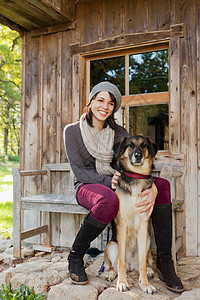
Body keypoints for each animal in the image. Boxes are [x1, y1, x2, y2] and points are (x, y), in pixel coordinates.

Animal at [104, 135, 158, 294]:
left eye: (144, 145)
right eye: (131, 145)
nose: (138, 155)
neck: (136, 176)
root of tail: (131, 265)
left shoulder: (143, 226)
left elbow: (143, 264)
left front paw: (145, 285)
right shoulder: (122, 224)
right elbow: (121, 262)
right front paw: (122, 283)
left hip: (147, 240)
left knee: (143, 262)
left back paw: (148, 271)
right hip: (111, 244)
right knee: (113, 264)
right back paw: (111, 273)